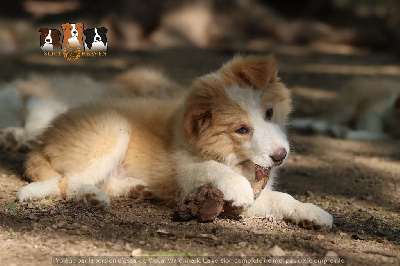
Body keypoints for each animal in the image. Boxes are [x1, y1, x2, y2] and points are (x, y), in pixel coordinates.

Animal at [17, 55, 332, 231]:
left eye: (269, 113)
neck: (231, 154)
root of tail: (45, 136)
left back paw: (135, 189)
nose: (280, 156)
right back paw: (92, 197)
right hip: (114, 130)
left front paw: (313, 214)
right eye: (241, 129)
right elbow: (211, 168)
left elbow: (283, 199)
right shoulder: (183, 175)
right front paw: (238, 187)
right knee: (67, 182)